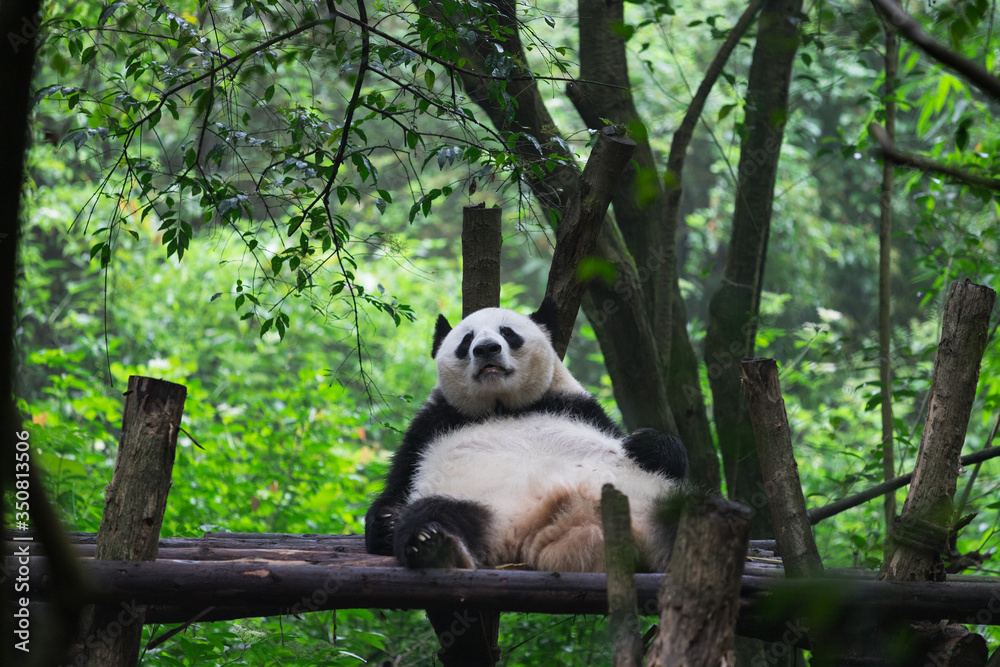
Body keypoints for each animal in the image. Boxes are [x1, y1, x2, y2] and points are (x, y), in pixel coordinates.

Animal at [364, 298, 688, 573]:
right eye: (467, 340)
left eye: (507, 333)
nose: (486, 348)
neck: (502, 407)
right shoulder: (428, 431)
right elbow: (398, 487)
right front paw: (385, 522)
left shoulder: (583, 411)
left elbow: (667, 457)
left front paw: (645, 443)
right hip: (479, 501)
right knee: (433, 512)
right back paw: (435, 547)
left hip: (650, 498)